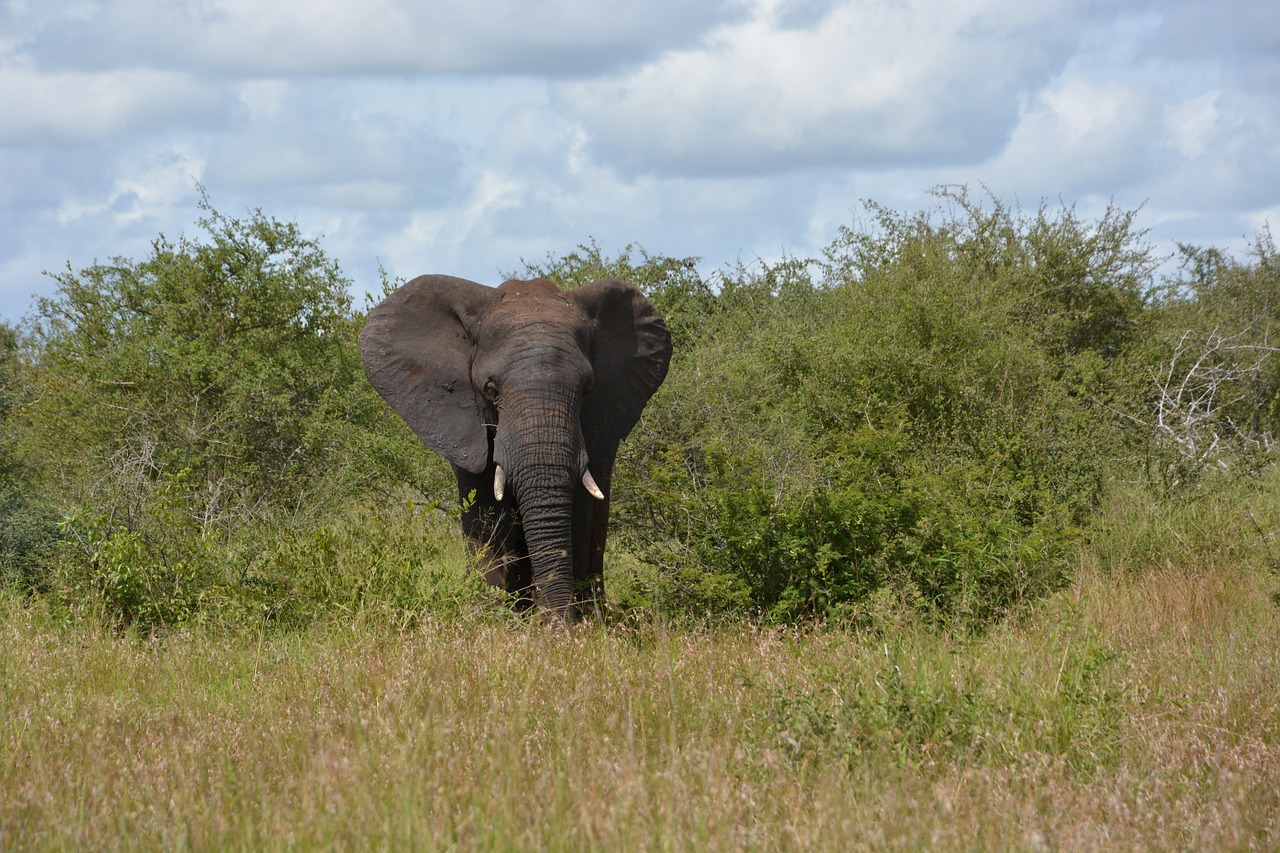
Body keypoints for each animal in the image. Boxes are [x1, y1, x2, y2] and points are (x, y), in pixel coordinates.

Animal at [360, 275, 670, 622]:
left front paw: (584, 624)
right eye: (491, 390)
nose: (556, 626)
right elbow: (485, 502)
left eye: (587, 390)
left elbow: (583, 507)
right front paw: (492, 620)